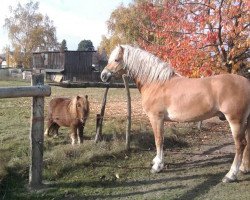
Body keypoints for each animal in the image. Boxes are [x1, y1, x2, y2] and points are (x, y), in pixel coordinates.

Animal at [101, 45, 250, 183]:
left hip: (235, 121)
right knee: (246, 142)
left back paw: (230, 175)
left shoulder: (156, 118)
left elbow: (159, 140)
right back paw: (243, 168)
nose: (103, 75)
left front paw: (157, 166)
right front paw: (156, 161)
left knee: (240, 144)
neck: (156, 83)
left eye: (116, 59)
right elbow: (159, 140)